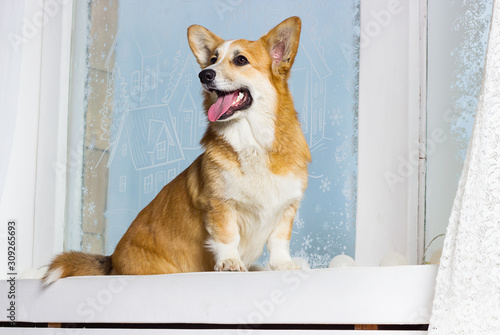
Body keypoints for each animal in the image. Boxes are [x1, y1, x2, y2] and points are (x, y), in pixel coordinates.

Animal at [43, 14, 310, 284]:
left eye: (241, 60)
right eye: (213, 59)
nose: (204, 75)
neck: (252, 140)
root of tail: (111, 262)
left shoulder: (286, 208)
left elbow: (279, 242)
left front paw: (283, 265)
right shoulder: (221, 205)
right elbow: (227, 237)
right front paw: (230, 262)